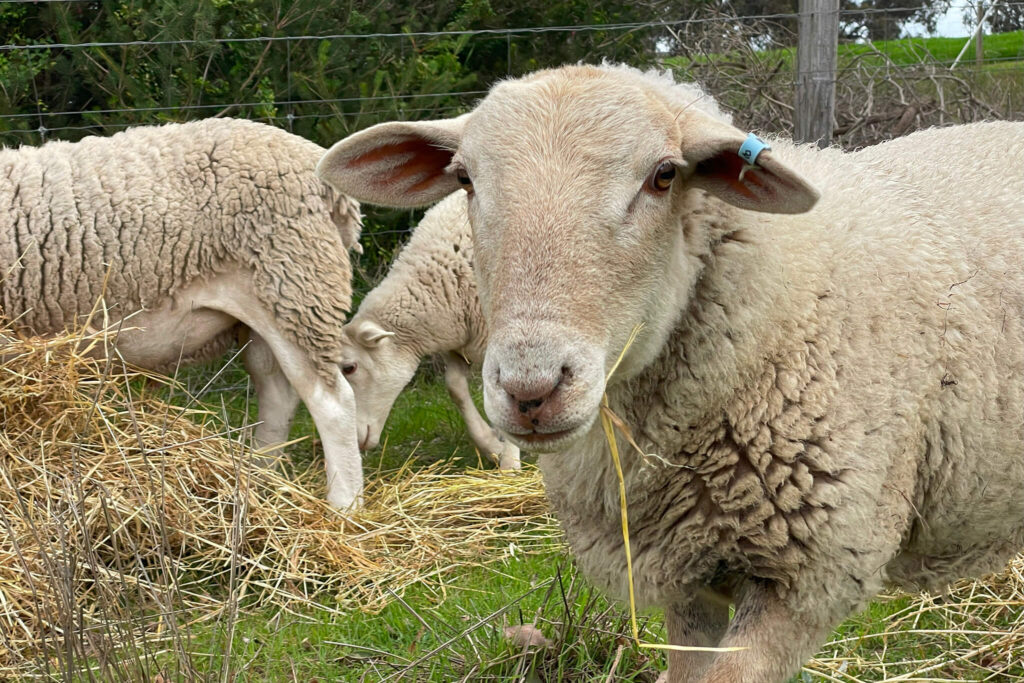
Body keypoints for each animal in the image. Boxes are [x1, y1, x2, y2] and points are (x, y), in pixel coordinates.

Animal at [0, 117, 366, 509]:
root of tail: (320, 170)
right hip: (269, 311)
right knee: (277, 395)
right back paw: (259, 485)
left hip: (297, 288)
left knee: (333, 403)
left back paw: (344, 508)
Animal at [342, 191, 524, 471]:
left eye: (349, 368)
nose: (355, 441)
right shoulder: (459, 341)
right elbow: (455, 388)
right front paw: (492, 445)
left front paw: (510, 464)